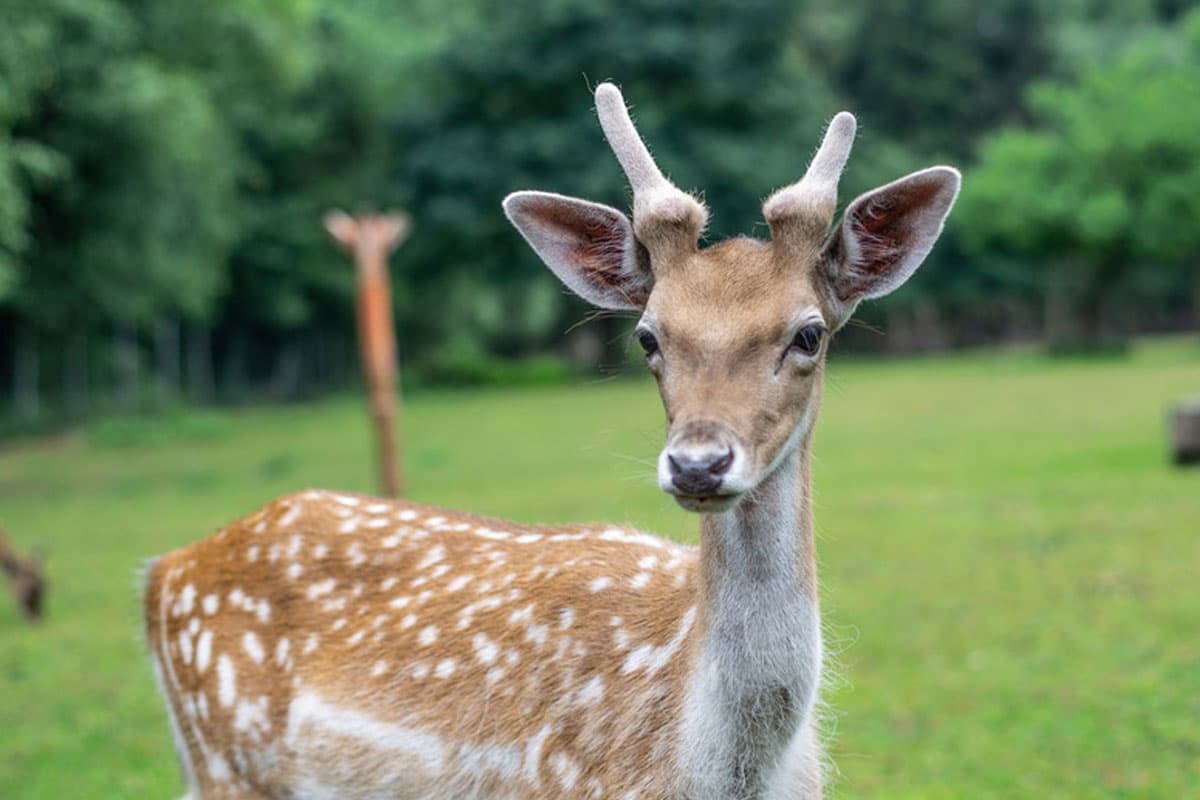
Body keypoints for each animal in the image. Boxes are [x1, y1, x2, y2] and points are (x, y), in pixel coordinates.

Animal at [145, 82, 960, 800]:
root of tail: (162, 572)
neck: (709, 772)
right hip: (226, 761)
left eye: (810, 334)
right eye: (647, 337)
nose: (698, 464)